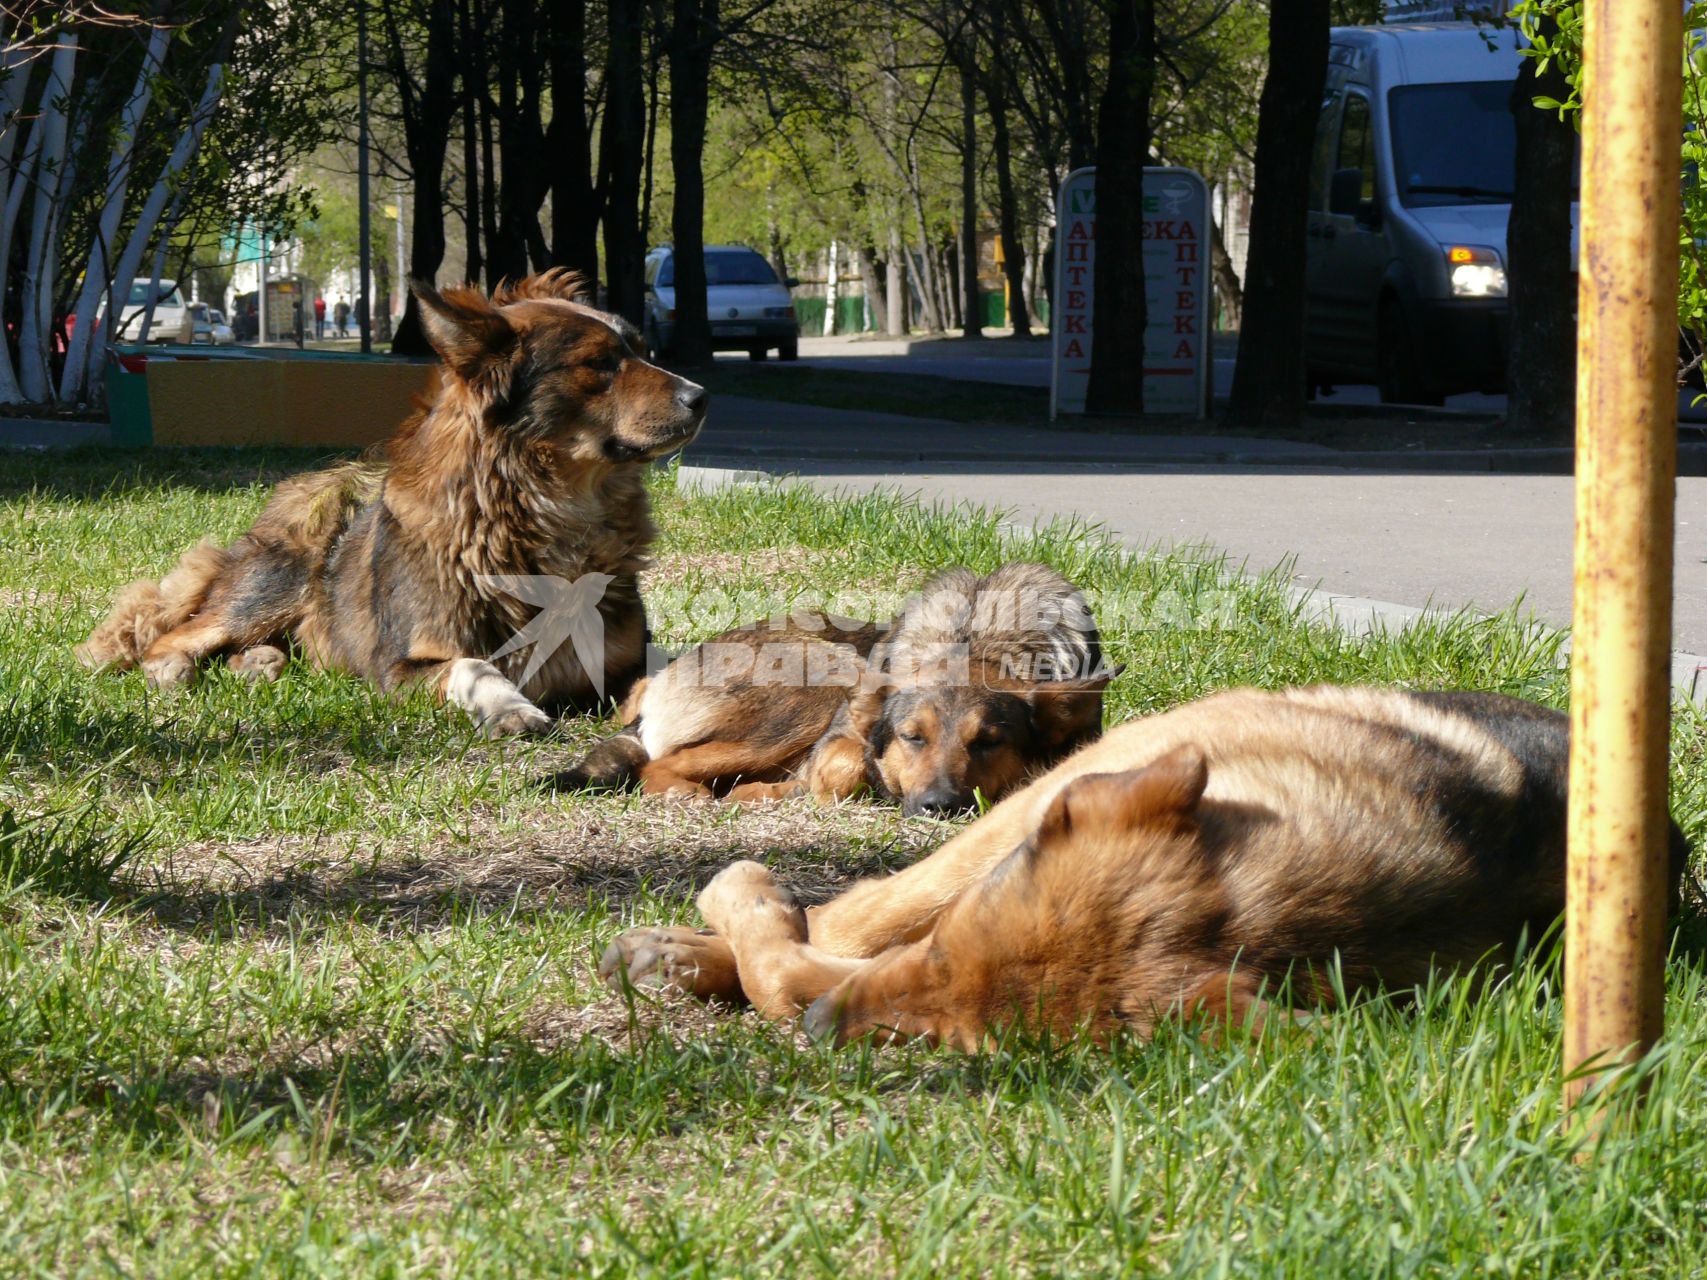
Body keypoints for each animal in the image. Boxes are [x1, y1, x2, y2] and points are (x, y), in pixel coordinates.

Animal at [76, 267, 703, 730]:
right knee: (175, 636)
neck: (546, 513)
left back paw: (259, 663)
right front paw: (509, 706)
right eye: (599, 364)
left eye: (642, 349)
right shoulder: (400, 669)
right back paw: (178, 671)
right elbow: (473, 664)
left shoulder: (626, 655)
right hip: (277, 581)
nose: (701, 396)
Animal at [553, 563, 1126, 822]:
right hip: (823, 680)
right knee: (659, 767)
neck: (982, 641)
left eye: (988, 742)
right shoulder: (842, 736)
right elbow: (844, 767)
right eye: (912, 738)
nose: (938, 807)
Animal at [600, 692, 1693, 1051]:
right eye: (948, 948)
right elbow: (823, 945)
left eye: (957, 1047)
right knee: (852, 913)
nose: (831, 1037)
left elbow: (800, 966)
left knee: (827, 936)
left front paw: (737, 933)